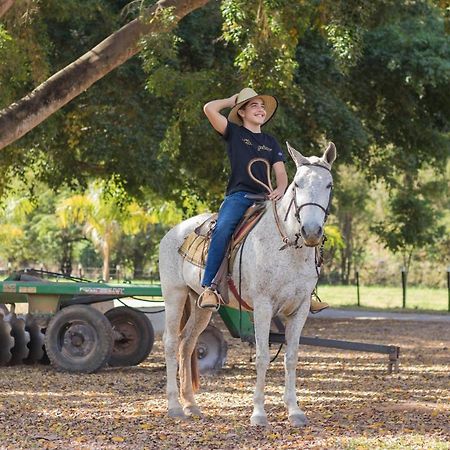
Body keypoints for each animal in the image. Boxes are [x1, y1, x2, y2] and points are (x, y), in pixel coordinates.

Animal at [160, 142, 336, 428]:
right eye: (297, 184)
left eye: (328, 184)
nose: (311, 232)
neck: (288, 248)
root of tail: (173, 232)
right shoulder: (263, 307)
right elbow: (263, 356)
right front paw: (258, 413)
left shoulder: (299, 309)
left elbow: (291, 357)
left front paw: (294, 411)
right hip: (174, 294)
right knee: (171, 342)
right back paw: (175, 406)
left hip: (201, 304)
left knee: (187, 343)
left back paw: (191, 405)